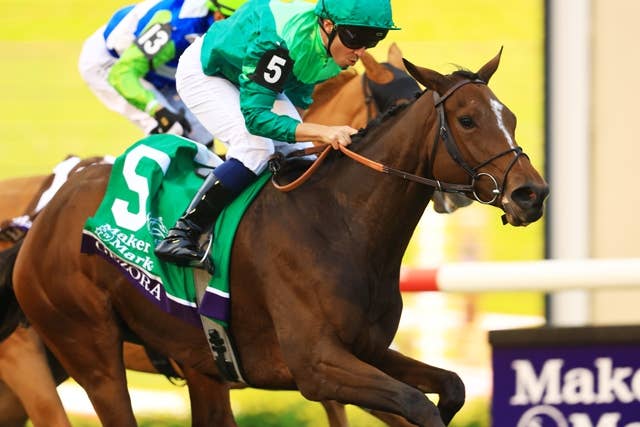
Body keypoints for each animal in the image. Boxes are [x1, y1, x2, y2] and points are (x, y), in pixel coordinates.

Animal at [7, 50, 548, 427]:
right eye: (468, 120)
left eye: (511, 117)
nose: (531, 194)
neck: (338, 222)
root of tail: (48, 213)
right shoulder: (316, 365)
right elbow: (418, 405)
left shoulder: (367, 351)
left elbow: (452, 386)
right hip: (86, 352)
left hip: (197, 366)